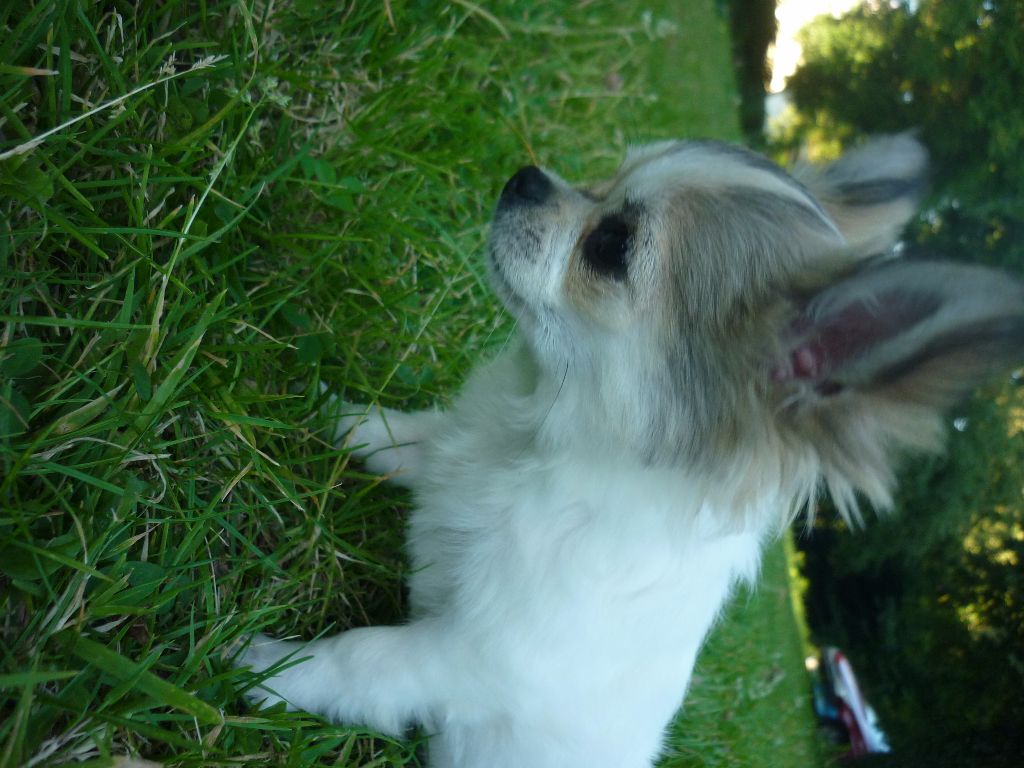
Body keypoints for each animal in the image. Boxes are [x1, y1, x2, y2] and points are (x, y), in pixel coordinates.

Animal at [237, 137, 1024, 768]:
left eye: (611, 246)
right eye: (606, 175)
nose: (528, 177)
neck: (531, 441)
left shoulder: (453, 658)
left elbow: (354, 656)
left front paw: (261, 666)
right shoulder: (455, 450)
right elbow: (414, 439)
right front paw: (344, 421)